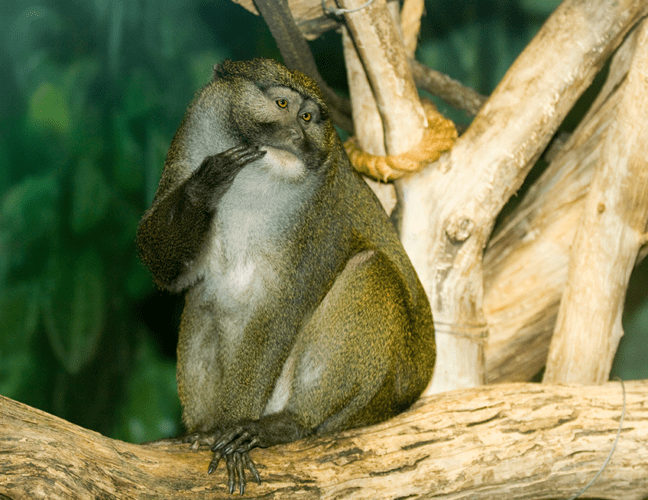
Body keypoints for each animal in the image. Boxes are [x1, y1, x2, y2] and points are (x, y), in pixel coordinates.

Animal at [135, 57, 436, 492]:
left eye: (308, 117)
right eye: (282, 104)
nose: (296, 134)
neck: (257, 185)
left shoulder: (320, 212)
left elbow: (279, 312)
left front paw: (233, 432)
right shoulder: (190, 139)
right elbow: (168, 269)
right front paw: (205, 184)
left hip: (365, 405)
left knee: (370, 269)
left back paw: (285, 424)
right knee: (202, 296)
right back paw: (202, 430)